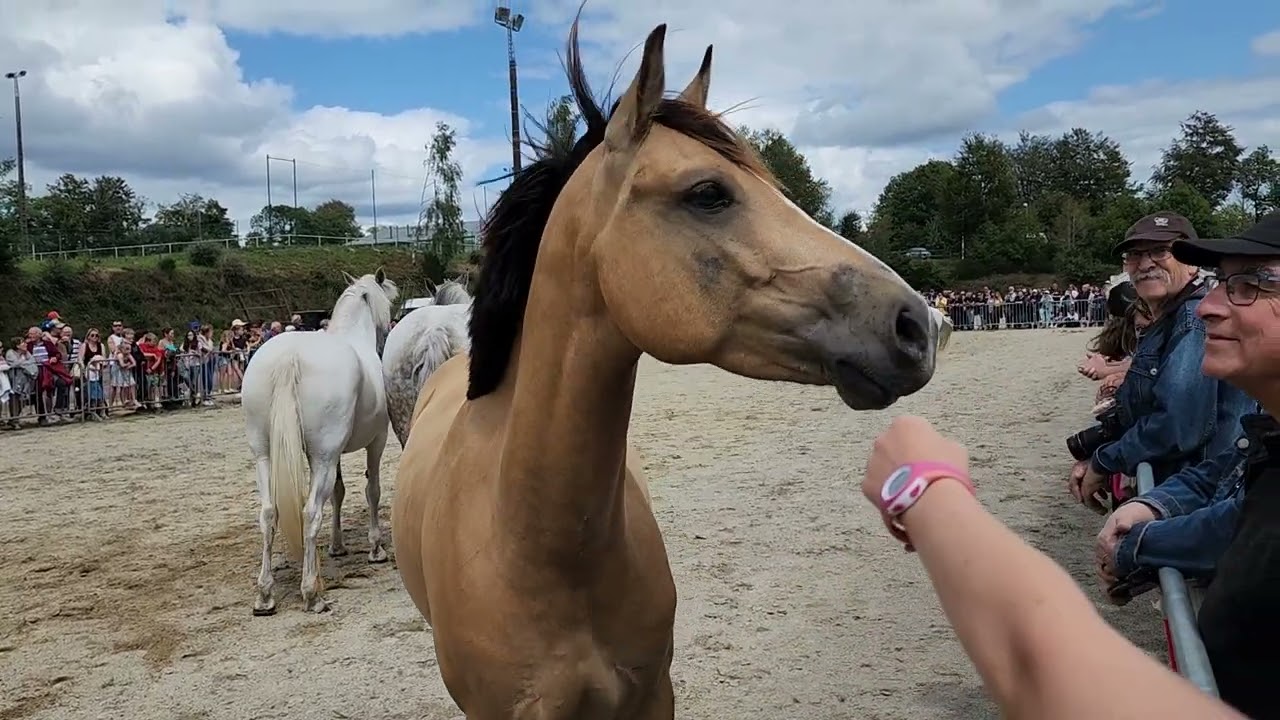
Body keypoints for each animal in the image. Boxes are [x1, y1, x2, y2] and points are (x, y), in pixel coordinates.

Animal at [241, 269, 399, 615]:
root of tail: (289, 357)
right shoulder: (375, 441)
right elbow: (372, 490)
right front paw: (375, 548)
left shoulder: (330, 455)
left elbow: (338, 493)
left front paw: (338, 546)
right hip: (323, 457)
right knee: (311, 511)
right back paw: (311, 592)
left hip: (266, 456)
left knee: (268, 513)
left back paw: (265, 594)